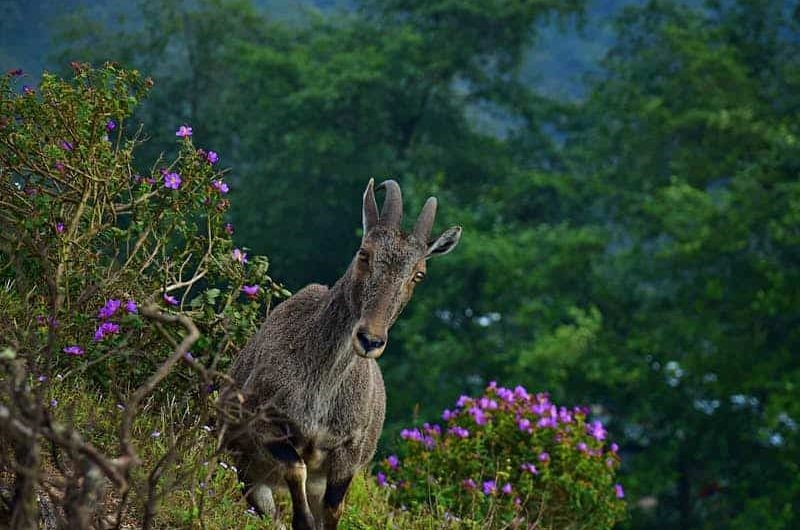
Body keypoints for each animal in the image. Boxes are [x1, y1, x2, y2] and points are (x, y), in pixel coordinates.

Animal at [225, 179, 462, 524]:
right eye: (364, 253)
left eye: (418, 274)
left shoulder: (349, 451)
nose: (370, 340)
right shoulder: (264, 422)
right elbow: (296, 474)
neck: (322, 386)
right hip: (245, 465)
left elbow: (333, 508)